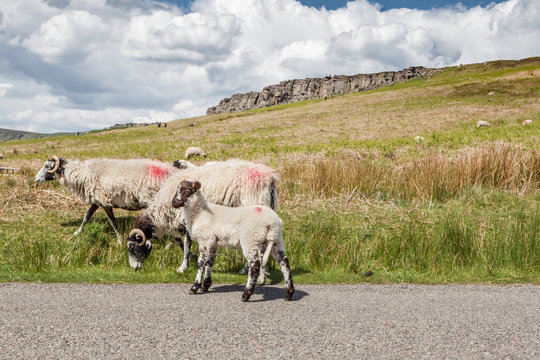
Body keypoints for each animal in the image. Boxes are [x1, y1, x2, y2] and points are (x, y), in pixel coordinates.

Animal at [34, 156, 177, 243]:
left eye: (47, 166)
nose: (36, 179)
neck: (81, 174)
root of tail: (171, 171)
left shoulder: (104, 202)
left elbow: (113, 222)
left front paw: (119, 240)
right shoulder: (96, 201)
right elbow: (86, 216)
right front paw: (77, 233)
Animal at [125, 158, 278, 278]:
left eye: (132, 246)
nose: (134, 268)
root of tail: (270, 176)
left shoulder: (186, 219)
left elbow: (186, 244)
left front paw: (183, 267)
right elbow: (180, 242)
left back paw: (251, 270)